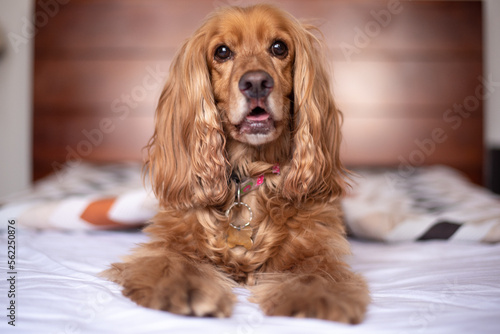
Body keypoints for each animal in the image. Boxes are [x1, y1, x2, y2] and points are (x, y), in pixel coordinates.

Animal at [102, 3, 368, 324]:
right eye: (222, 52)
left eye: (279, 47)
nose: (256, 83)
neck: (249, 171)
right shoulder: (171, 240)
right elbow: (173, 263)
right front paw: (184, 289)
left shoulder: (316, 247)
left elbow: (316, 275)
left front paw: (315, 300)